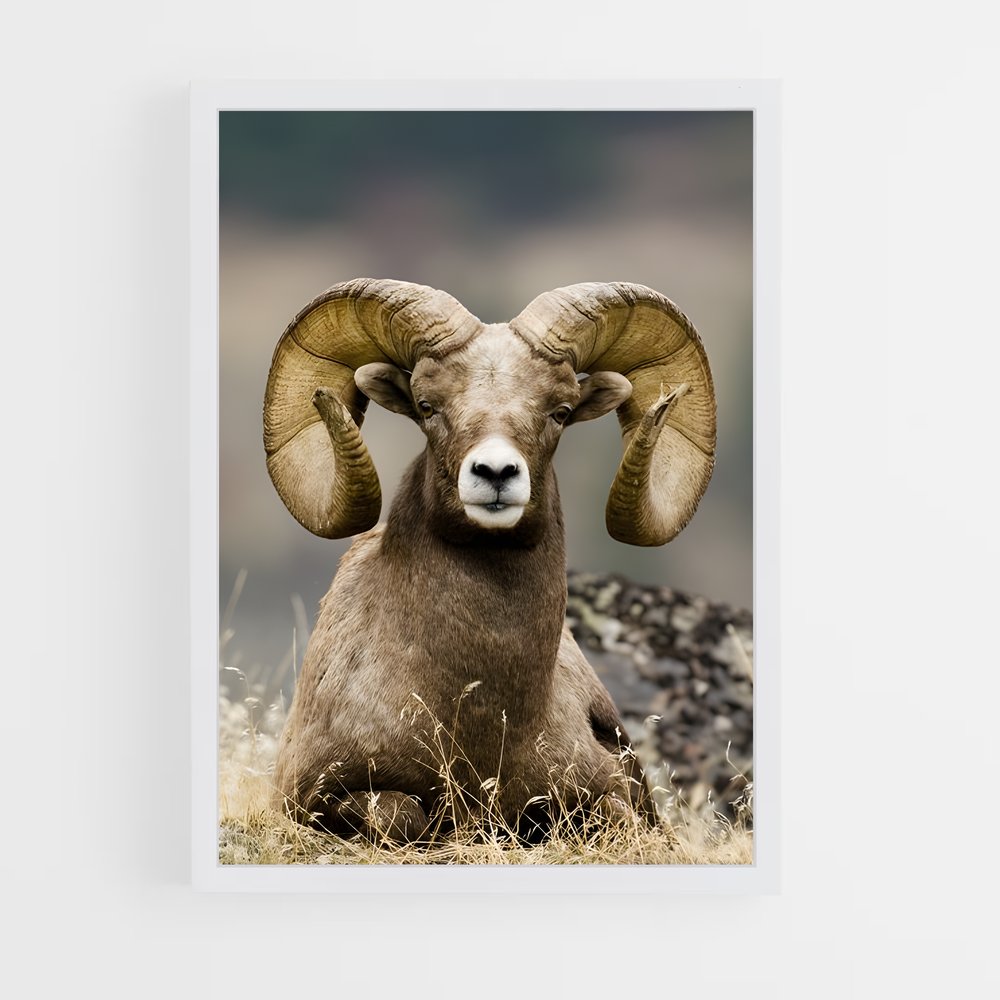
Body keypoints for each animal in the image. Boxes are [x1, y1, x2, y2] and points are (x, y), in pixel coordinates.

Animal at [262, 278, 716, 842]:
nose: (496, 473)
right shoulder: (315, 797)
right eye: (427, 405)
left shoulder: (602, 792)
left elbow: (610, 813)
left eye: (560, 411)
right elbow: (400, 813)